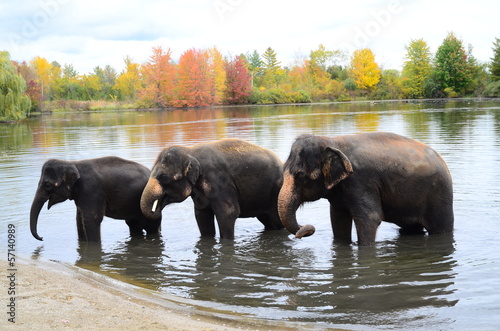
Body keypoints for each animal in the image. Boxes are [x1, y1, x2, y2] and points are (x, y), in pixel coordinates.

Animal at [29, 157, 161, 243]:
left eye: (47, 185)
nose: (42, 238)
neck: (72, 163)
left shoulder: (91, 190)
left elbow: (92, 219)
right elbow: (79, 219)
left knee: (151, 228)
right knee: (133, 225)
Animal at [140, 139, 286, 240]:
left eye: (163, 177)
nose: (156, 210)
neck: (189, 152)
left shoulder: (219, 182)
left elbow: (228, 213)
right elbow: (202, 216)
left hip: (277, 194)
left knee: (277, 221)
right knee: (268, 221)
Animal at [280, 133, 456, 246]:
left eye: (300, 175)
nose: (306, 229)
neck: (331, 141)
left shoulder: (362, 181)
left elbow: (370, 218)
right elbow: (338, 219)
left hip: (439, 196)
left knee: (441, 228)